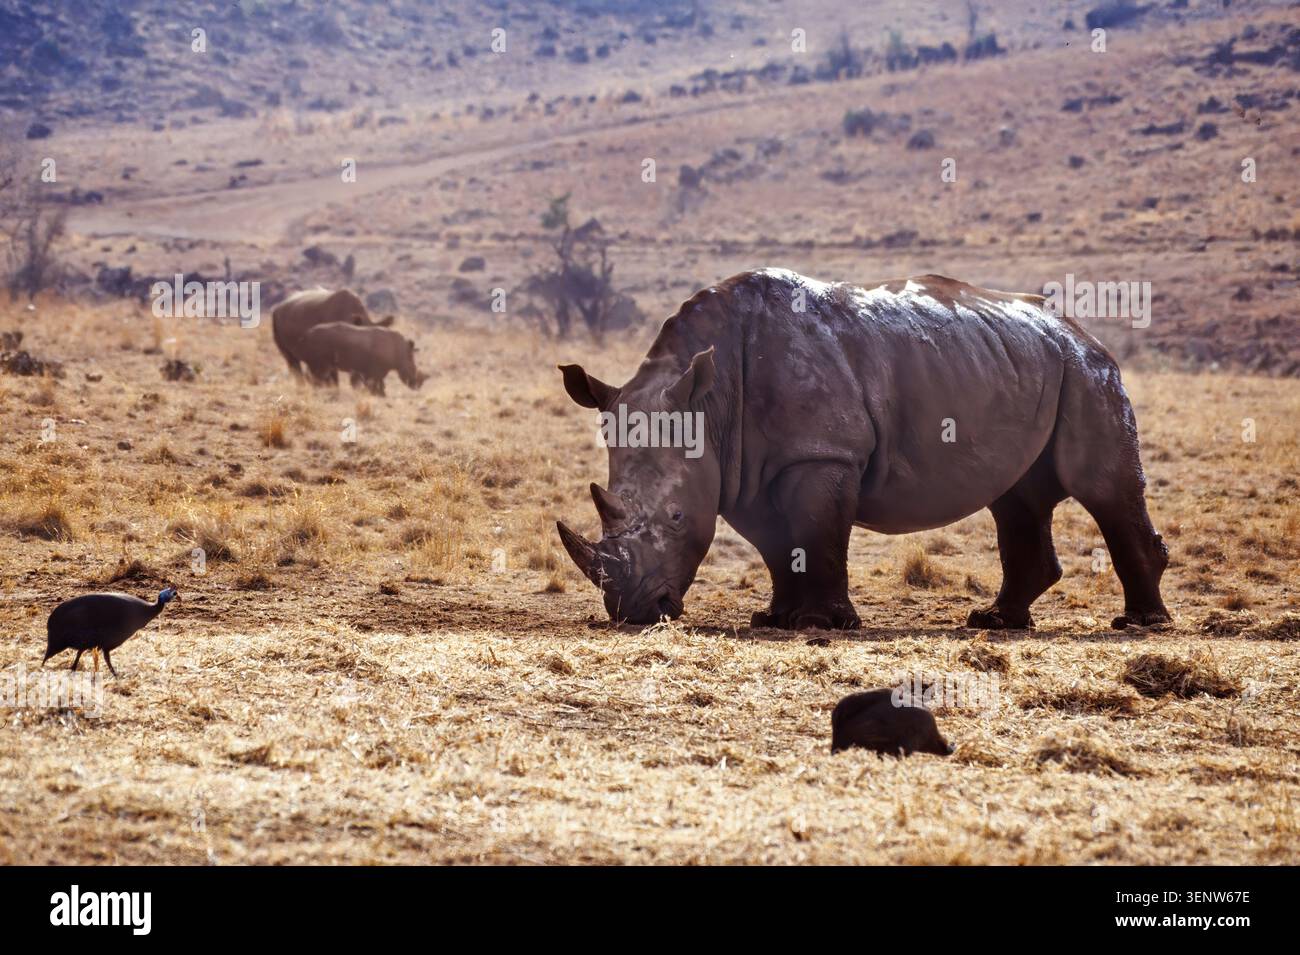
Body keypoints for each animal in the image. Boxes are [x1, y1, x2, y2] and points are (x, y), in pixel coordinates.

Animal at [298, 322, 427, 395]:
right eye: (412, 368)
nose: (416, 387)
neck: (402, 353)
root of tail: (306, 335)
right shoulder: (376, 370)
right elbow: (375, 383)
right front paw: (378, 395)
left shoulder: (371, 369)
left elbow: (376, 383)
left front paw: (379, 394)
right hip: (320, 348)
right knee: (319, 371)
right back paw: (315, 389)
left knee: (316, 371)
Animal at [556, 268, 1170, 631]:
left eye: (677, 517)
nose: (635, 612)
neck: (708, 405)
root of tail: (1080, 330)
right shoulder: (744, 469)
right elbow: (778, 547)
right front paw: (773, 619)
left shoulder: (822, 452)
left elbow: (819, 534)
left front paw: (824, 624)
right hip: (1023, 364)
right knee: (1016, 498)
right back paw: (995, 621)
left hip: (1087, 373)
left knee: (1103, 490)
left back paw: (1140, 624)